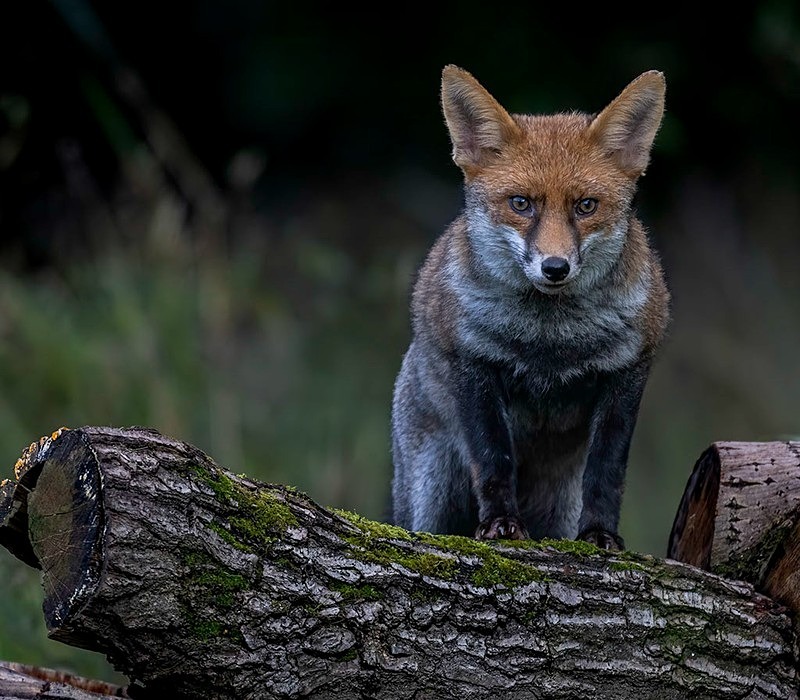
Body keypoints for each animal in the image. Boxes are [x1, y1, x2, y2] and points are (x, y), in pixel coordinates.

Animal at [390, 65, 670, 550]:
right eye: (521, 204)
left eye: (585, 206)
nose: (555, 267)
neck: (548, 342)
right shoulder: (474, 363)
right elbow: (493, 459)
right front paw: (501, 524)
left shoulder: (629, 369)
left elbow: (607, 471)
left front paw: (600, 534)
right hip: (430, 494)